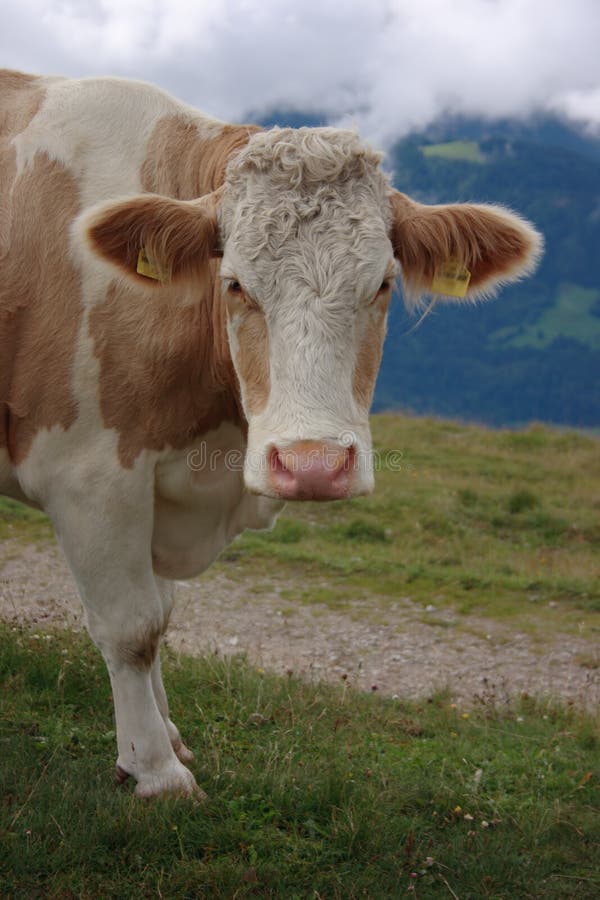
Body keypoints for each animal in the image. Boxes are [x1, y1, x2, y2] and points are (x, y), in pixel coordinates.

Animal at [0, 70, 542, 797]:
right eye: (234, 283)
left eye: (383, 284)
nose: (313, 464)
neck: (211, 456)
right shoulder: (89, 477)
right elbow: (132, 627)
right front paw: (156, 769)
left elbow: (162, 614)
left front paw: (170, 735)